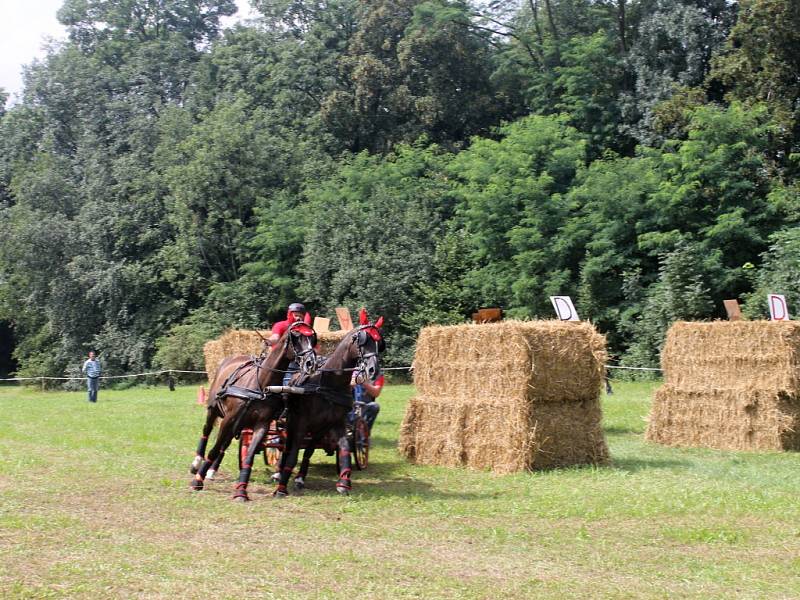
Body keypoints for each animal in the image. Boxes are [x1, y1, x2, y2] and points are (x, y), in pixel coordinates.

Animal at [191, 322, 318, 500]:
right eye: (296, 338)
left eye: (312, 339)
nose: (311, 363)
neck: (261, 384)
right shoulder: (228, 419)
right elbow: (214, 449)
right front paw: (198, 480)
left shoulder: (262, 425)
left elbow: (249, 456)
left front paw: (241, 491)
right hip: (214, 410)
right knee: (207, 432)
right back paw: (197, 463)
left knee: (226, 441)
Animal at [276, 310, 384, 496]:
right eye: (363, 340)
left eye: (379, 343)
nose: (373, 370)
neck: (330, 383)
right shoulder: (301, 423)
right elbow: (293, 452)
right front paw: (282, 486)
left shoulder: (332, 424)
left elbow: (343, 448)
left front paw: (344, 482)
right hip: (291, 422)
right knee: (286, 445)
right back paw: (279, 472)